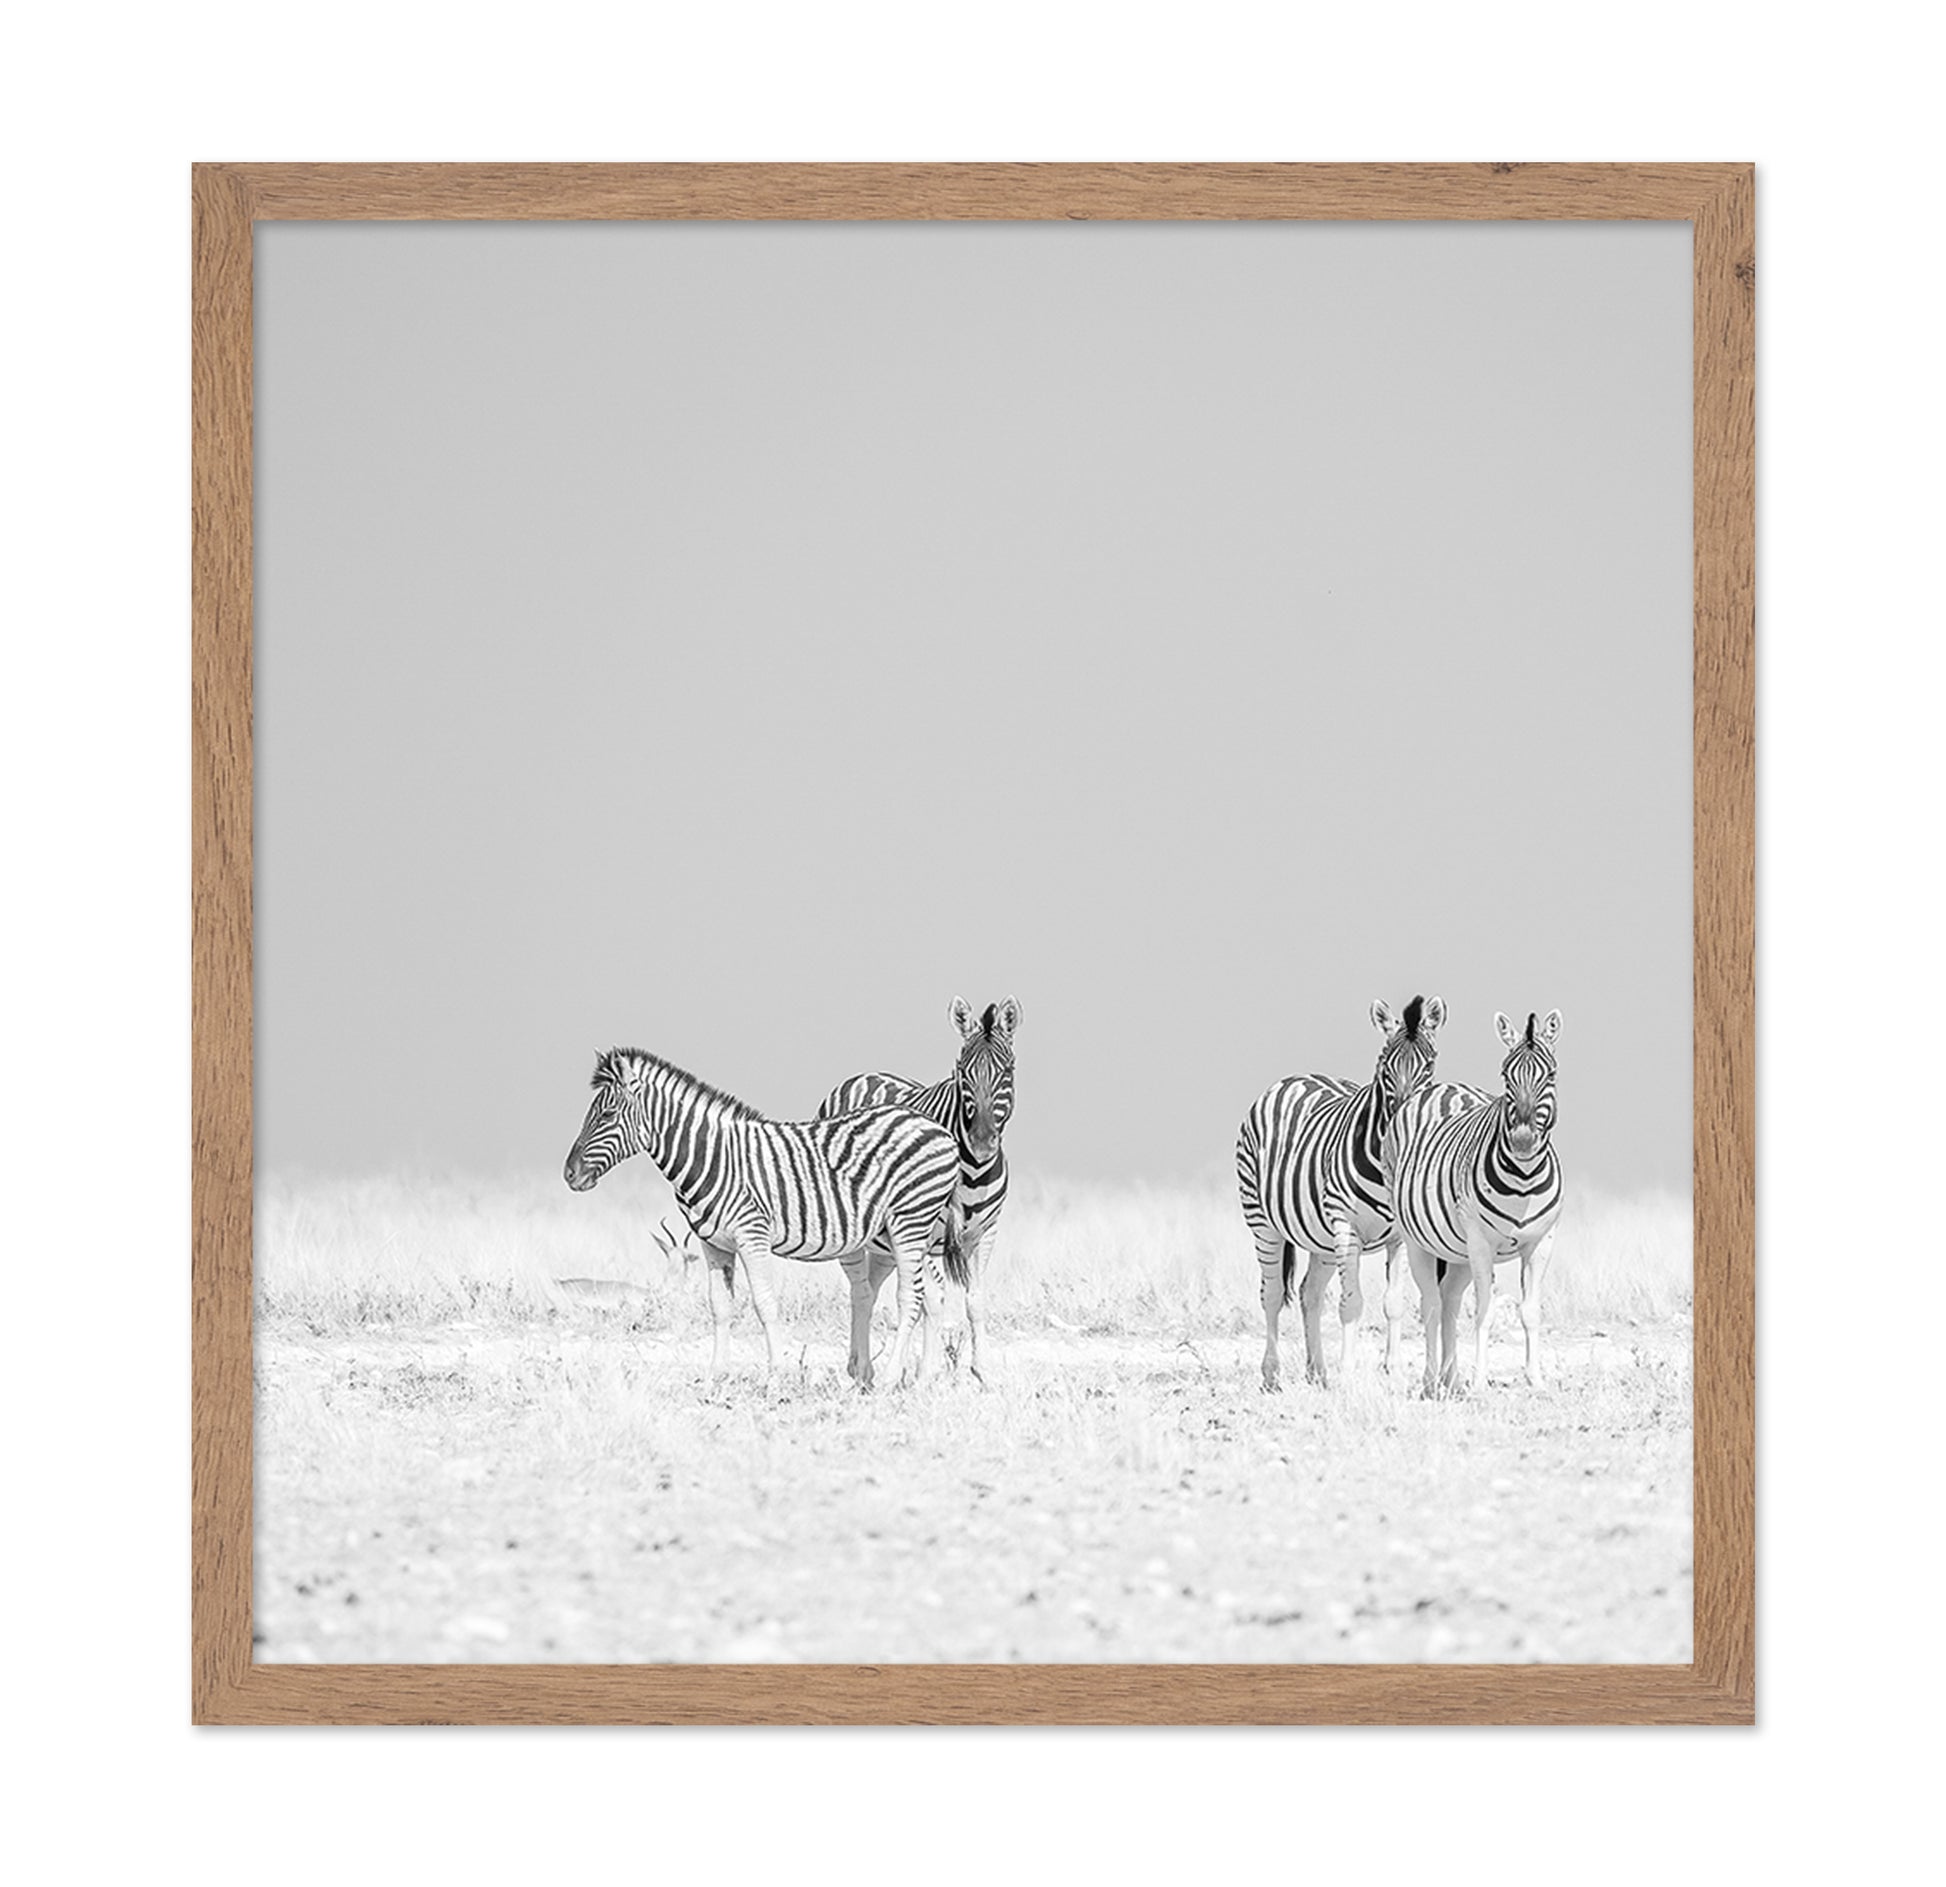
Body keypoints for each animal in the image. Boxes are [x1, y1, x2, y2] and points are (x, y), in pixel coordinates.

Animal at [562, 1047, 962, 1389]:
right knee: (932, 1295)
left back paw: (892, 1379)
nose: (569, 1174)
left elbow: (764, 1304)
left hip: (910, 1221)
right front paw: (715, 1375)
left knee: (911, 1296)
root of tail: (939, 1129)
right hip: (910, 1233)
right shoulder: (713, 1244)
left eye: (607, 1115)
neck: (714, 1158)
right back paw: (923, 1379)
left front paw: (775, 1377)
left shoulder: (752, 1236)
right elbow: (720, 1308)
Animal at [816, 996, 1019, 1385]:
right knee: (861, 1289)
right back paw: (862, 1370)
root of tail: (865, 1074)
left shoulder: (986, 1233)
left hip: (885, 1241)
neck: (972, 1170)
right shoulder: (924, 1232)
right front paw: (926, 1374)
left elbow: (975, 1299)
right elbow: (932, 1300)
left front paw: (983, 1371)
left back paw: (860, 1366)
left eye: (1008, 1071)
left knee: (872, 1285)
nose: (982, 1142)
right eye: (962, 1072)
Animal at [1235, 995, 1446, 1390]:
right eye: (1385, 1065)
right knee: (1272, 1294)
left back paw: (1317, 1372)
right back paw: (1272, 1375)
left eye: (1430, 1063)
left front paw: (1393, 1370)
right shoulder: (1345, 1226)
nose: (1402, 1121)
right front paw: (1348, 1375)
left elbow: (1393, 1303)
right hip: (1263, 1221)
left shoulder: (1400, 1236)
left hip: (1320, 1237)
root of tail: (1295, 1077)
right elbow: (1351, 1303)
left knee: (1309, 1293)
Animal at [1388, 1009, 1565, 1395]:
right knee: (1432, 1303)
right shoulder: (1482, 1244)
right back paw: (1431, 1380)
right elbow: (1485, 1311)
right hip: (1418, 1241)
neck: (1524, 1178)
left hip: (1458, 1251)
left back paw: (1451, 1378)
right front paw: (1481, 1380)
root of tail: (1441, 1087)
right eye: (1505, 1075)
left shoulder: (1541, 1242)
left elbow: (1530, 1311)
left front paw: (1535, 1379)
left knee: (1450, 1300)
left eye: (1551, 1074)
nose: (1523, 1141)